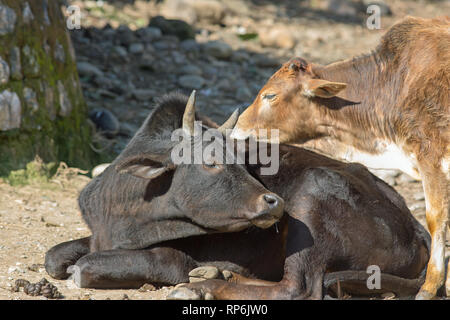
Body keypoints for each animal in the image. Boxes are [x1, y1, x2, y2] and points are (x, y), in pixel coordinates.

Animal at [44, 91, 428, 298]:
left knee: (296, 287)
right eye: (211, 161)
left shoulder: (176, 258)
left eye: (241, 160)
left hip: (313, 198)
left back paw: (203, 286)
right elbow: (55, 256)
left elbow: (84, 267)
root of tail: (416, 227)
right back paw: (219, 277)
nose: (274, 202)